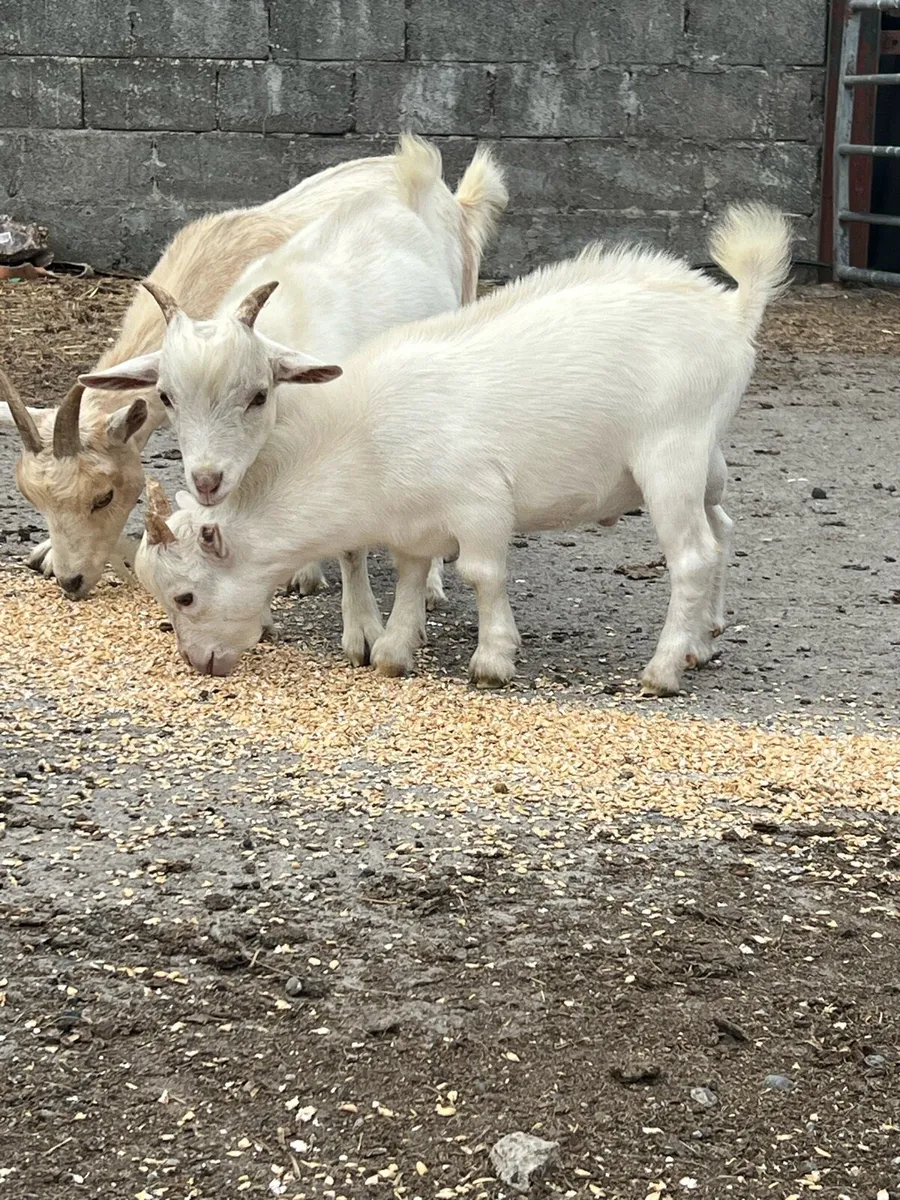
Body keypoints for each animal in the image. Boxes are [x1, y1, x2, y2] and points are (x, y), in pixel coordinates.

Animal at [134, 204, 791, 696]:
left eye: (186, 595)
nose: (200, 662)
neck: (367, 441)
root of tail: (731, 311)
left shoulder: (480, 501)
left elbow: (482, 572)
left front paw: (493, 660)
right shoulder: (410, 523)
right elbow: (409, 574)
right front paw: (395, 651)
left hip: (670, 455)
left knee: (693, 555)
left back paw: (664, 668)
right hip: (705, 457)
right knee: (722, 527)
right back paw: (704, 641)